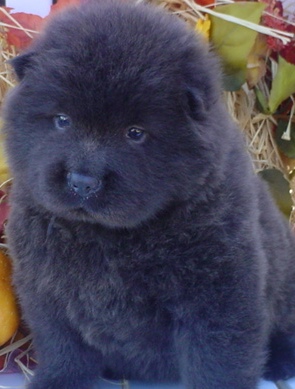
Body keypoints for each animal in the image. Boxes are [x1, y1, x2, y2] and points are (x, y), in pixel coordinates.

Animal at [1, 0, 295, 388]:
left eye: (135, 133)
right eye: (62, 120)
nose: (82, 181)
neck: (106, 239)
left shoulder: (221, 293)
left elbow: (218, 359)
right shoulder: (45, 290)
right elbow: (64, 351)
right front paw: (56, 382)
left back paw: (283, 362)